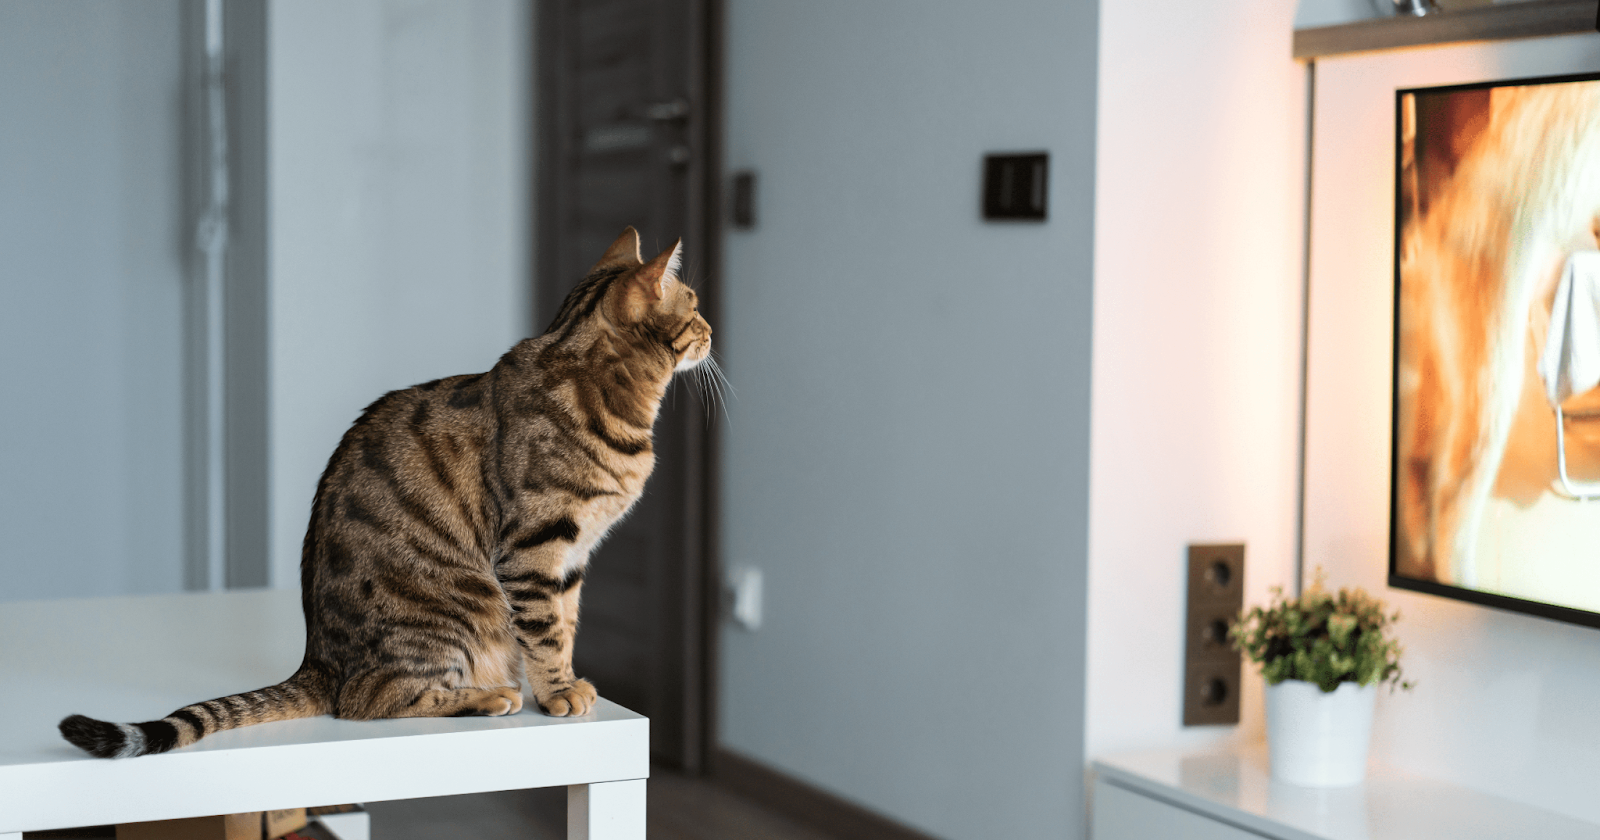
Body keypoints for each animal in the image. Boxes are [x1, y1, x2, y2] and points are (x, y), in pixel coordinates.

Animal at [60, 225, 713, 755]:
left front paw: (570, 680)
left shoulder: (572, 555)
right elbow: (546, 631)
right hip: (456, 606)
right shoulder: (535, 548)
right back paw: (487, 695)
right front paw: (557, 694)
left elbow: (566, 622)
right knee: (366, 699)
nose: (712, 330)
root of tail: (316, 661)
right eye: (696, 306)